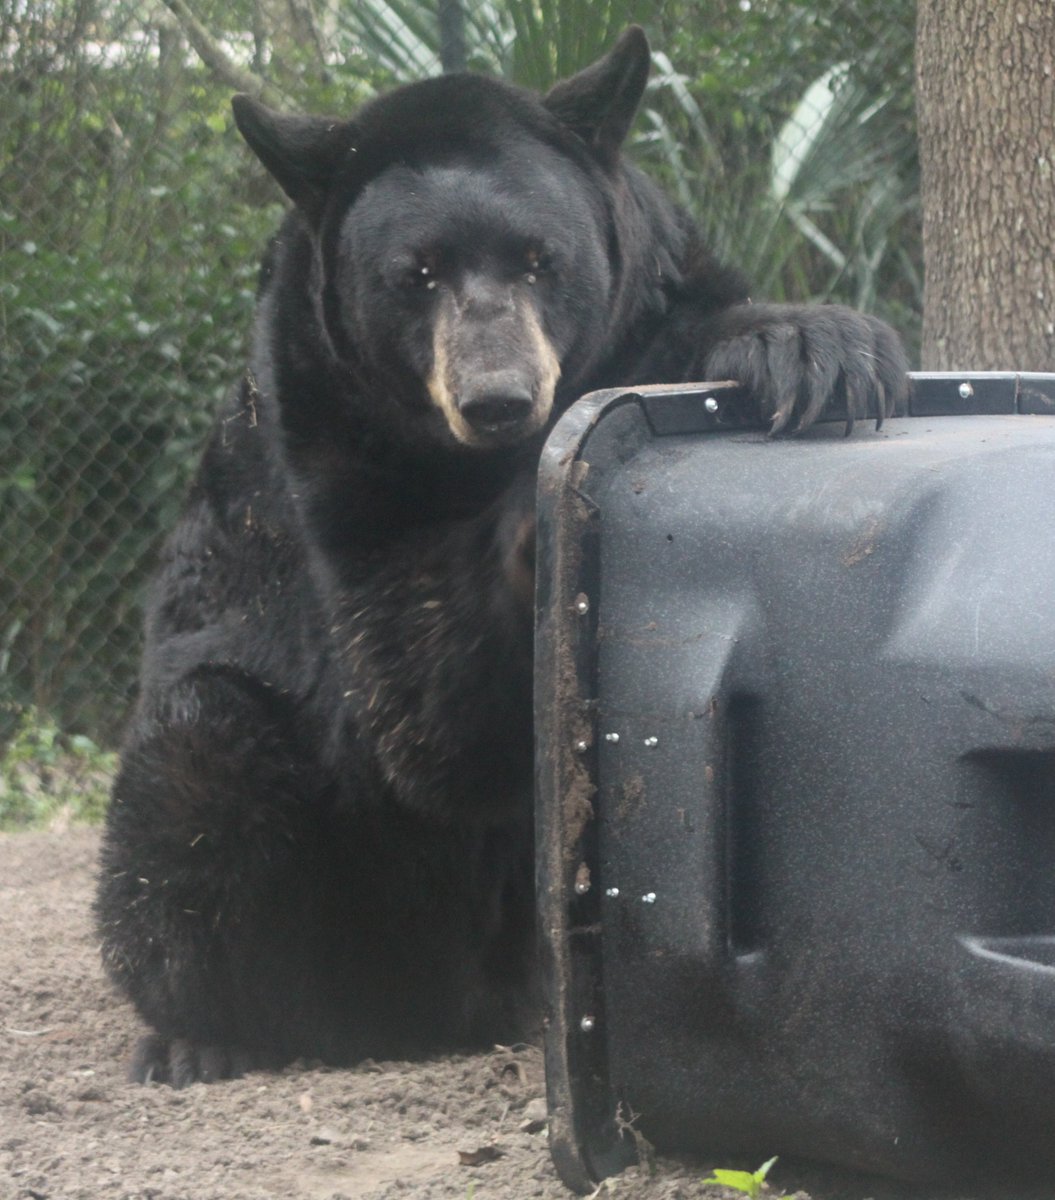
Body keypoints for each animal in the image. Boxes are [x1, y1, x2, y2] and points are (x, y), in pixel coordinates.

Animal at [95, 26, 908, 1087]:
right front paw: (546, 498)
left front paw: (816, 347)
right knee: (190, 786)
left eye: (538, 259)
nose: (499, 399)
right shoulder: (325, 440)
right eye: (416, 274)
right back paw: (203, 1031)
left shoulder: (652, 285)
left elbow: (711, 323)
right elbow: (415, 701)